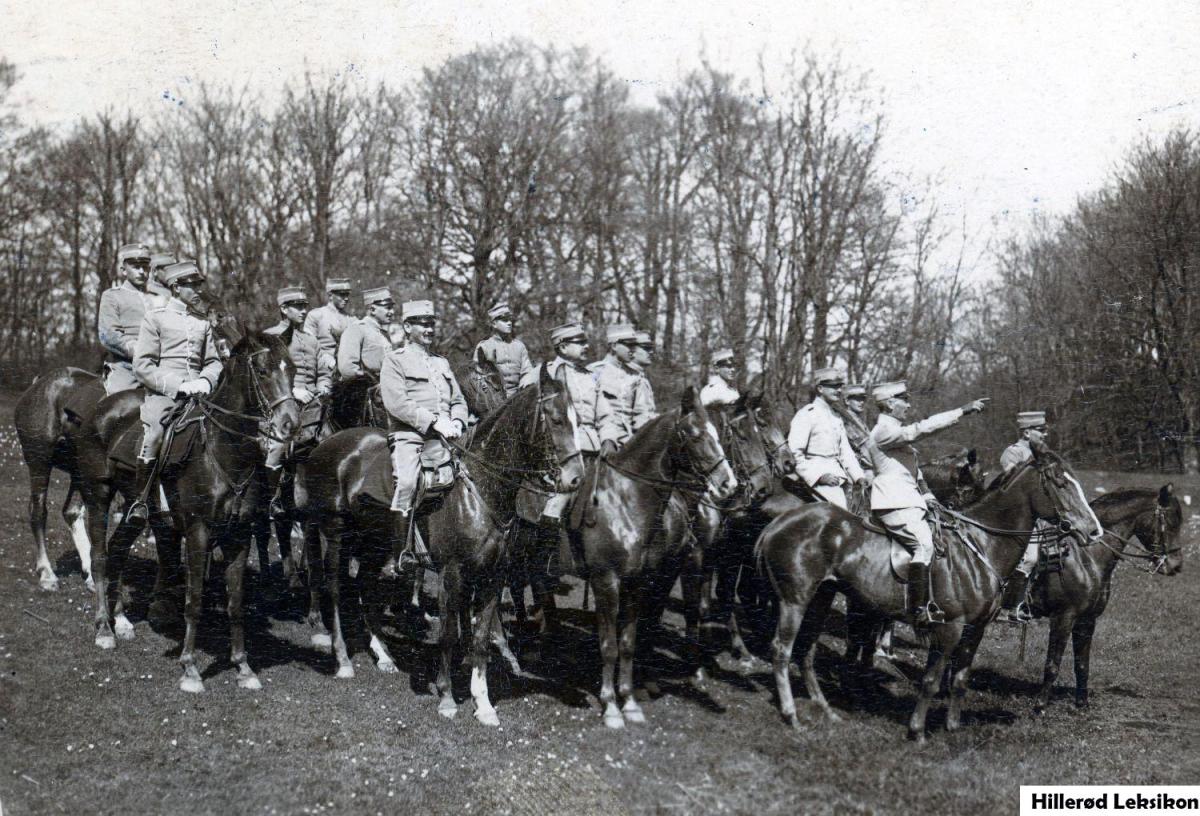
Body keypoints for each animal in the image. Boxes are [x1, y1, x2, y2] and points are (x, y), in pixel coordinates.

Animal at [13, 367, 104, 590]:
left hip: (79, 470)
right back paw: (47, 574)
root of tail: (38, 383)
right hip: (39, 461)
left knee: (71, 511)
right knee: (38, 511)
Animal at [73, 324, 296, 696]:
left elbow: (235, 602)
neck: (223, 451)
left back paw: (121, 621)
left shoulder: (238, 534)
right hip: (98, 496)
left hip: (136, 508)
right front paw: (190, 669)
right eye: (263, 371)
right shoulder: (198, 531)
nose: (290, 424)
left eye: (291, 369)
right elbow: (194, 600)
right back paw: (104, 629)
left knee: (118, 550)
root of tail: (101, 408)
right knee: (101, 557)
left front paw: (243, 667)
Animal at [297, 367, 583, 724]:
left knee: (365, 587)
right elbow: (448, 635)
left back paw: (383, 654)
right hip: (336, 533)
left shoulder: (493, 576)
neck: (479, 490)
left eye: (577, 419)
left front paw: (483, 703)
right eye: (556, 420)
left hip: (374, 543)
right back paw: (343, 659)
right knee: (335, 589)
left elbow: (480, 639)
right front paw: (447, 697)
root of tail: (326, 444)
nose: (576, 478)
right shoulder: (452, 573)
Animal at [758, 439, 1104, 739]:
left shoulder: (975, 629)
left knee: (805, 650)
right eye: (1060, 482)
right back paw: (791, 713)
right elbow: (930, 680)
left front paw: (952, 726)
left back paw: (825, 709)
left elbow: (960, 679)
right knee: (781, 649)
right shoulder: (949, 628)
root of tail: (779, 522)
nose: (1093, 531)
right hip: (795, 600)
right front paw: (917, 730)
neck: (982, 545)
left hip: (821, 597)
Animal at [1027, 484, 1185, 715]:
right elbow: (1052, 664)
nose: (1176, 566)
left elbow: (1082, 664)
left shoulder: (1086, 620)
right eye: (1172, 522)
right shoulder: (1063, 618)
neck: (1085, 556)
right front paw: (1040, 706)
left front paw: (1082, 704)